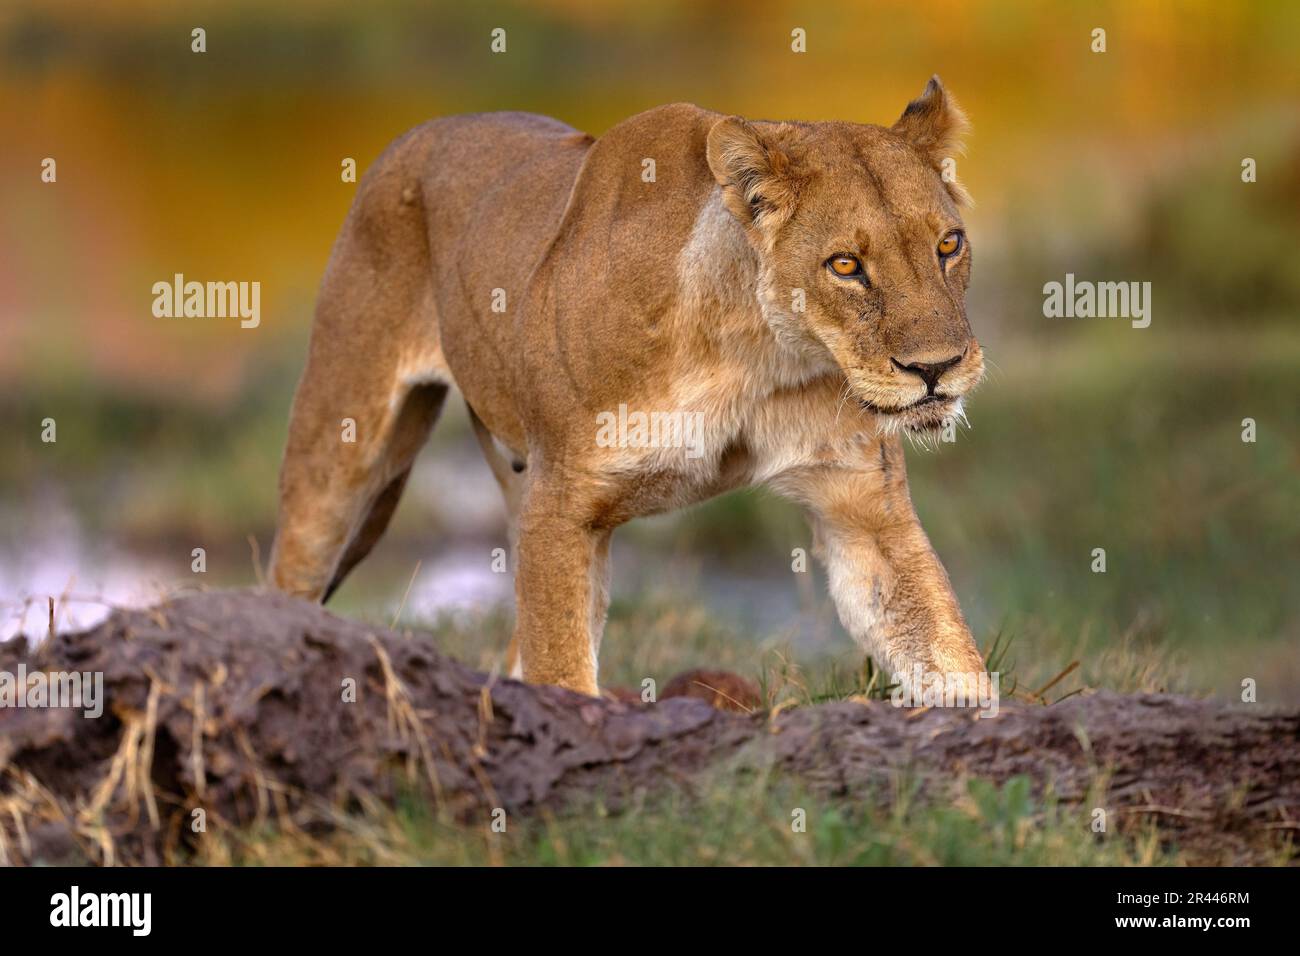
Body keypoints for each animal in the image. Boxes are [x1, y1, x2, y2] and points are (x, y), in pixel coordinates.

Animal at [268, 77, 988, 698]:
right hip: (341, 450)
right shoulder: (560, 509)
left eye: (949, 245)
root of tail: (421, 131)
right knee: (289, 579)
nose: (936, 367)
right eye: (845, 266)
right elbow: (563, 673)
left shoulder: (862, 506)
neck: (754, 354)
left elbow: (947, 652)